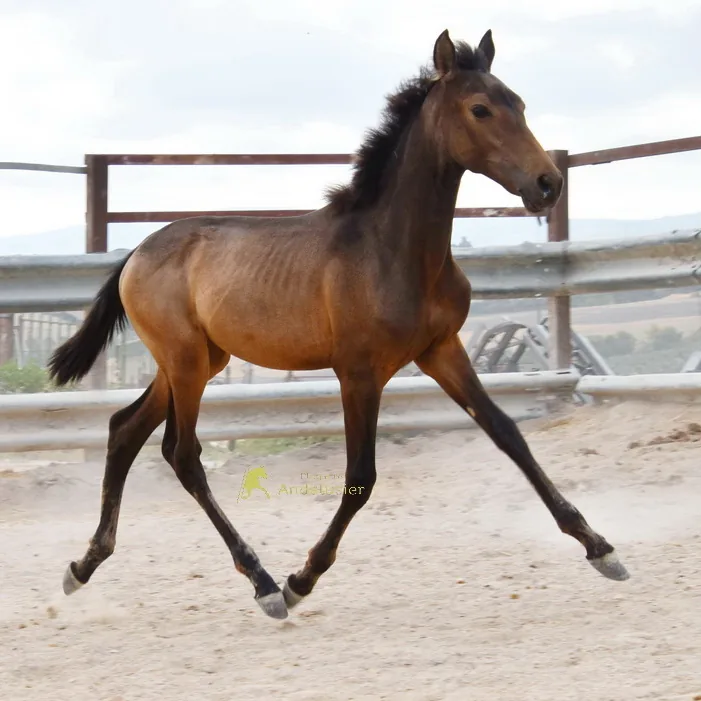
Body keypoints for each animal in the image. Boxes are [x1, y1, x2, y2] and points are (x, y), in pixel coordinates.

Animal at [48, 29, 629, 621]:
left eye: (520, 104)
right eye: (480, 109)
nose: (547, 183)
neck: (393, 251)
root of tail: (136, 252)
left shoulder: (442, 350)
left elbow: (509, 434)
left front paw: (600, 548)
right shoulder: (358, 372)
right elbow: (360, 478)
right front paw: (300, 580)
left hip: (197, 361)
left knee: (125, 431)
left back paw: (84, 565)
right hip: (186, 362)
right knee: (182, 454)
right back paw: (261, 582)